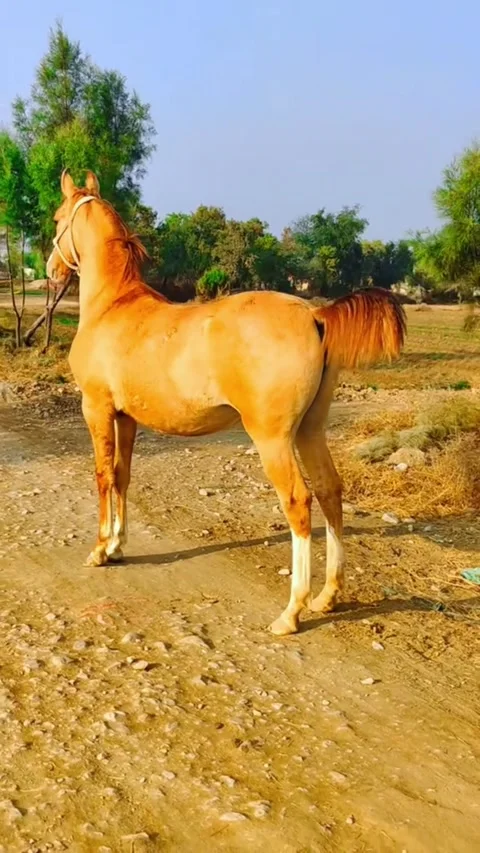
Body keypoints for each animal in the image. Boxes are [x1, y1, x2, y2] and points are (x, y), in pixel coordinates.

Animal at [47, 170, 406, 636]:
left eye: (57, 219)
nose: (51, 272)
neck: (113, 305)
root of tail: (314, 315)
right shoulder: (127, 417)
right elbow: (123, 476)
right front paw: (119, 546)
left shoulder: (97, 409)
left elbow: (103, 475)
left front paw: (100, 550)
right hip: (310, 430)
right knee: (329, 490)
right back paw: (327, 596)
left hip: (272, 439)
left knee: (298, 502)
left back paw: (291, 612)